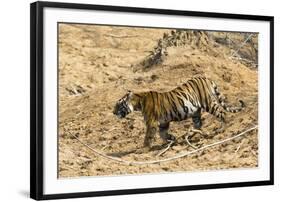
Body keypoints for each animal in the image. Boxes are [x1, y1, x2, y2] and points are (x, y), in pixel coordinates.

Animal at [111, 76, 243, 149]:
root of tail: (206, 78)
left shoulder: (151, 122)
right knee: (198, 124)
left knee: (222, 113)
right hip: (195, 112)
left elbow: (148, 137)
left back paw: (221, 128)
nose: (113, 112)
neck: (138, 103)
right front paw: (172, 139)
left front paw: (143, 149)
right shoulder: (163, 123)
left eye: (118, 105)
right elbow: (162, 134)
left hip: (208, 103)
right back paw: (189, 136)